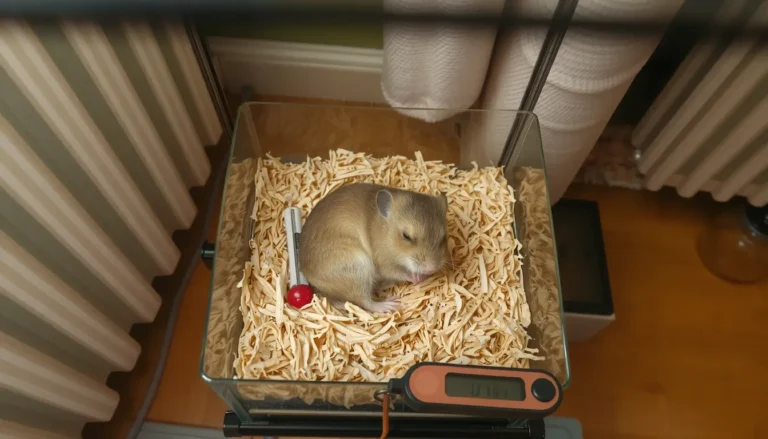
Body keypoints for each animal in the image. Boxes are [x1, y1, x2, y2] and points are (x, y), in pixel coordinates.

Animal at [299, 183, 449, 314]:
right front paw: (419, 278)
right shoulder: (383, 263)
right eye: (406, 236)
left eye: (443, 236)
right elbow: (401, 273)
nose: (431, 268)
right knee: (365, 302)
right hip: (358, 269)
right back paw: (389, 305)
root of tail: (312, 280)